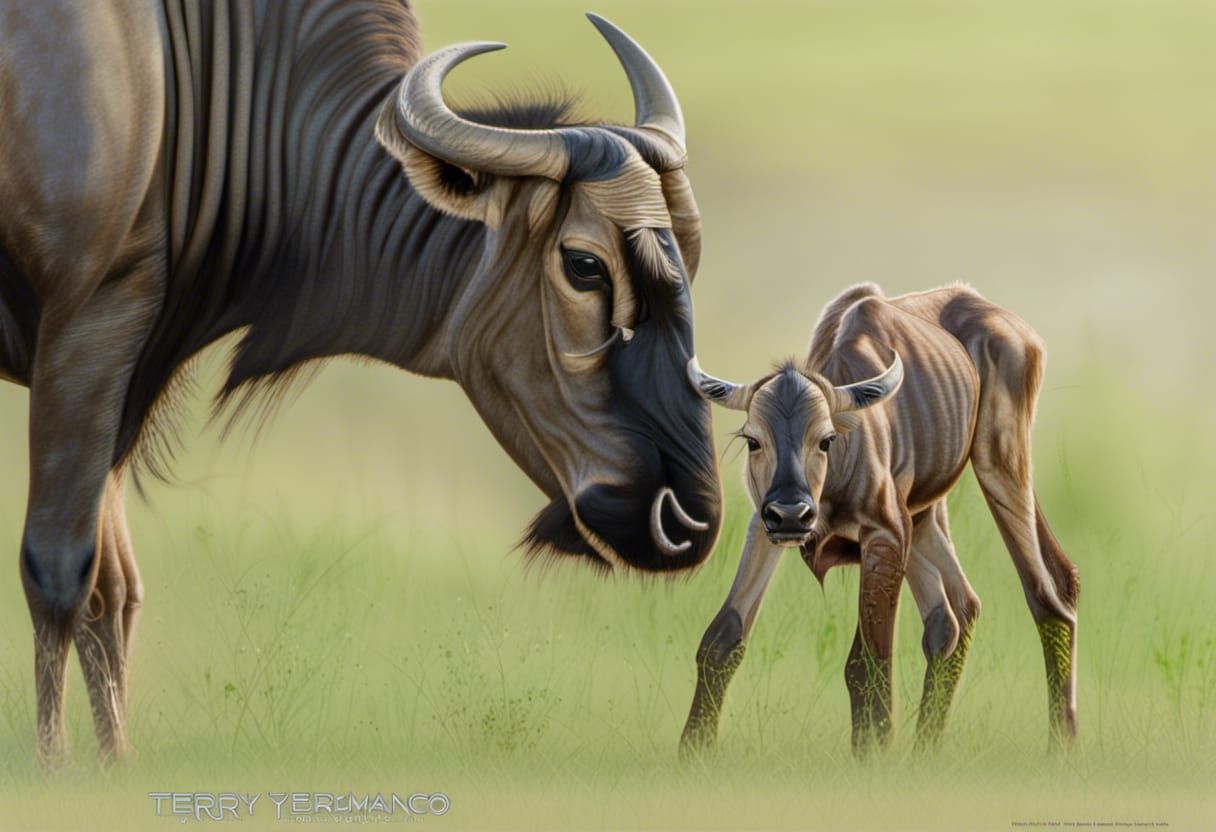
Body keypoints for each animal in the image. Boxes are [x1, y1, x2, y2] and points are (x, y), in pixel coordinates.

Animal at [0, 1, 722, 766]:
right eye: (584, 265)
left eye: (688, 259)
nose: (692, 521)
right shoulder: (85, 333)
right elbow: (59, 569)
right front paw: (53, 768)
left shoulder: (122, 367)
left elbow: (113, 589)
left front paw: (114, 767)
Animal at [679, 283, 1079, 754]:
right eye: (753, 440)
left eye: (826, 439)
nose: (792, 514)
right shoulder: (764, 529)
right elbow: (721, 639)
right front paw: (693, 750)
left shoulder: (885, 535)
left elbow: (866, 663)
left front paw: (872, 753)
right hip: (926, 515)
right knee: (959, 610)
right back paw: (926, 748)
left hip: (998, 463)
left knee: (1046, 591)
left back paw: (1061, 745)